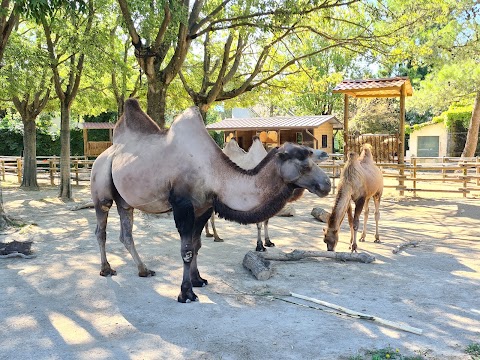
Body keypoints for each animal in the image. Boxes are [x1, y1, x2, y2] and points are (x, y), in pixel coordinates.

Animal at [90, 97, 332, 300]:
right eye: (304, 163)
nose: (327, 184)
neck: (214, 174)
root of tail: (101, 156)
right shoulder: (183, 205)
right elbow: (186, 250)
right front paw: (186, 293)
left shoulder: (203, 207)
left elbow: (197, 245)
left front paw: (198, 280)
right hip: (101, 187)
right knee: (101, 229)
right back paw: (106, 269)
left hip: (125, 200)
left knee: (126, 233)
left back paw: (144, 270)